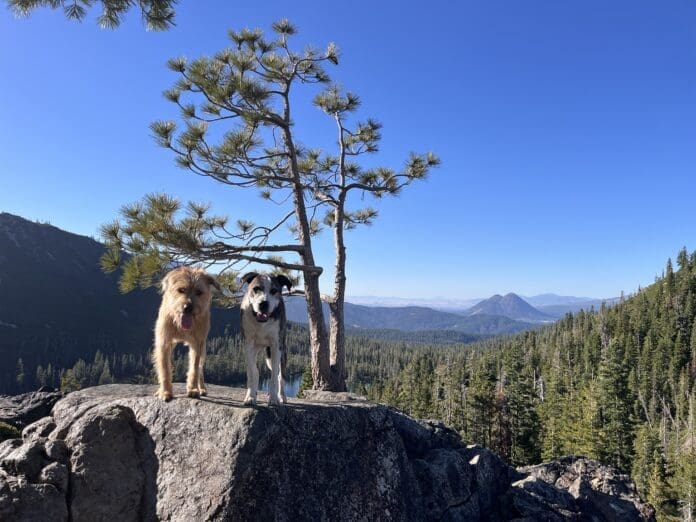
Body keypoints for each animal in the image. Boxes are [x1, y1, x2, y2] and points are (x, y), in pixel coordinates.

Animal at [155, 266, 220, 400]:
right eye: (181, 290)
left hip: (203, 349)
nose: (188, 307)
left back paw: (202, 388)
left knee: (200, 369)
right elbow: (164, 369)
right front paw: (165, 392)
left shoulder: (197, 344)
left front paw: (193, 389)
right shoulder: (164, 343)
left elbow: (194, 368)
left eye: (199, 292)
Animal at [239, 272, 290, 406]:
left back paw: (281, 396)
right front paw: (250, 397)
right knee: (254, 371)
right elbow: (252, 373)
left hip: (278, 354)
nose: (263, 304)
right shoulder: (248, 345)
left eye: (274, 290)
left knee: (280, 375)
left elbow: (274, 377)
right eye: (256, 288)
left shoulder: (276, 346)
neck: (261, 323)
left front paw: (273, 399)